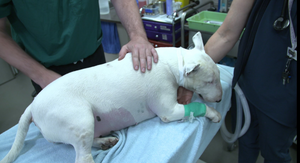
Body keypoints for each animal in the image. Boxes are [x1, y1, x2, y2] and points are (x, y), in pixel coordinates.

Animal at [0, 31, 223, 163]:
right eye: (209, 81)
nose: (220, 99)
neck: (173, 62)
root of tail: (32, 106)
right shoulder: (169, 110)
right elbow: (197, 107)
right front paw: (213, 113)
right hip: (80, 119)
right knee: (82, 156)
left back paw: (104, 141)